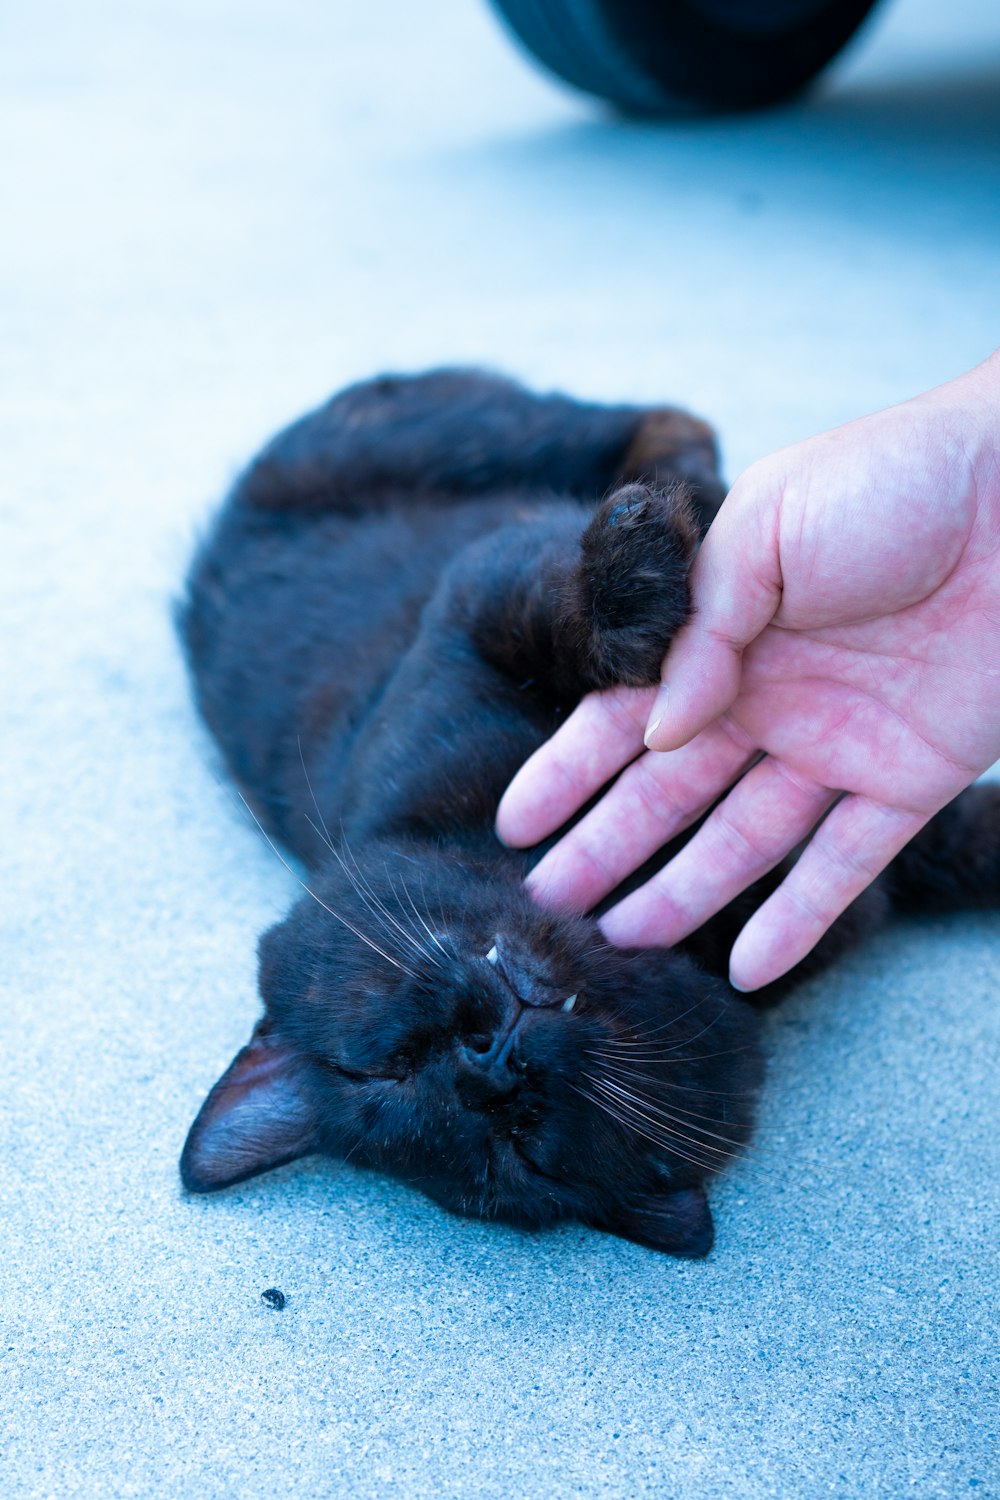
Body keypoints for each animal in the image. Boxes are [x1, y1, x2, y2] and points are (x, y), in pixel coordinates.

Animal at [179, 366, 1000, 1254]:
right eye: (519, 1142)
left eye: (383, 1057)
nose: (488, 1057)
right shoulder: (858, 873)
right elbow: (941, 842)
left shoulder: (467, 612)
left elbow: (560, 615)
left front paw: (632, 576)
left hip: (454, 436)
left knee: (646, 420)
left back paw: (678, 490)